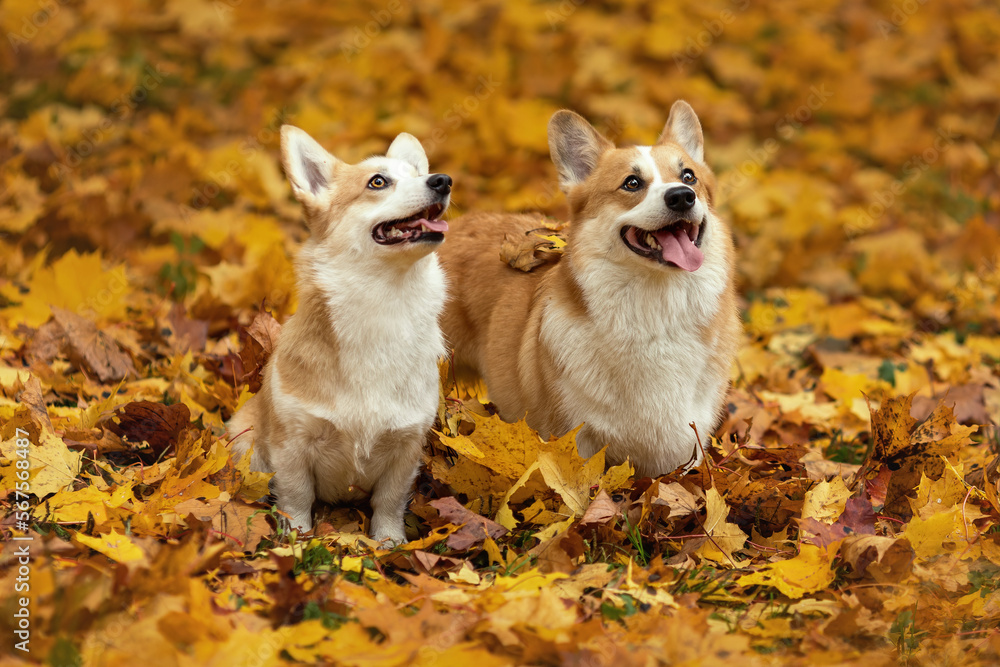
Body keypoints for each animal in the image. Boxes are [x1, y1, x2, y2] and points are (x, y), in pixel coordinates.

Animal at [229, 125, 452, 548]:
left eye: (418, 174)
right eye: (378, 182)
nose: (443, 181)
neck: (383, 303)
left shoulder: (405, 446)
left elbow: (389, 501)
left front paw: (389, 544)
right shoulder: (292, 444)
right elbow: (297, 496)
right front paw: (297, 539)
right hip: (241, 437)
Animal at [442, 102, 740, 478]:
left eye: (689, 177)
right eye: (631, 183)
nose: (682, 197)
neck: (656, 310)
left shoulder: (687, 451)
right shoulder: (575, 439)